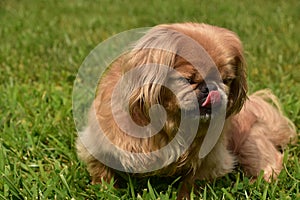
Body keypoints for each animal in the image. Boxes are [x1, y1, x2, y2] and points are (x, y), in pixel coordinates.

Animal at [75, 23, 298, 198]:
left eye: (226, 80)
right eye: (188, 80)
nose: (211, 89)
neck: (171, 124)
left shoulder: (210, 159)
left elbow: (193, 182)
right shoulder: (99, 143)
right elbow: (101, 170)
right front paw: (104, 190)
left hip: (250, 142)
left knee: (271, 160)